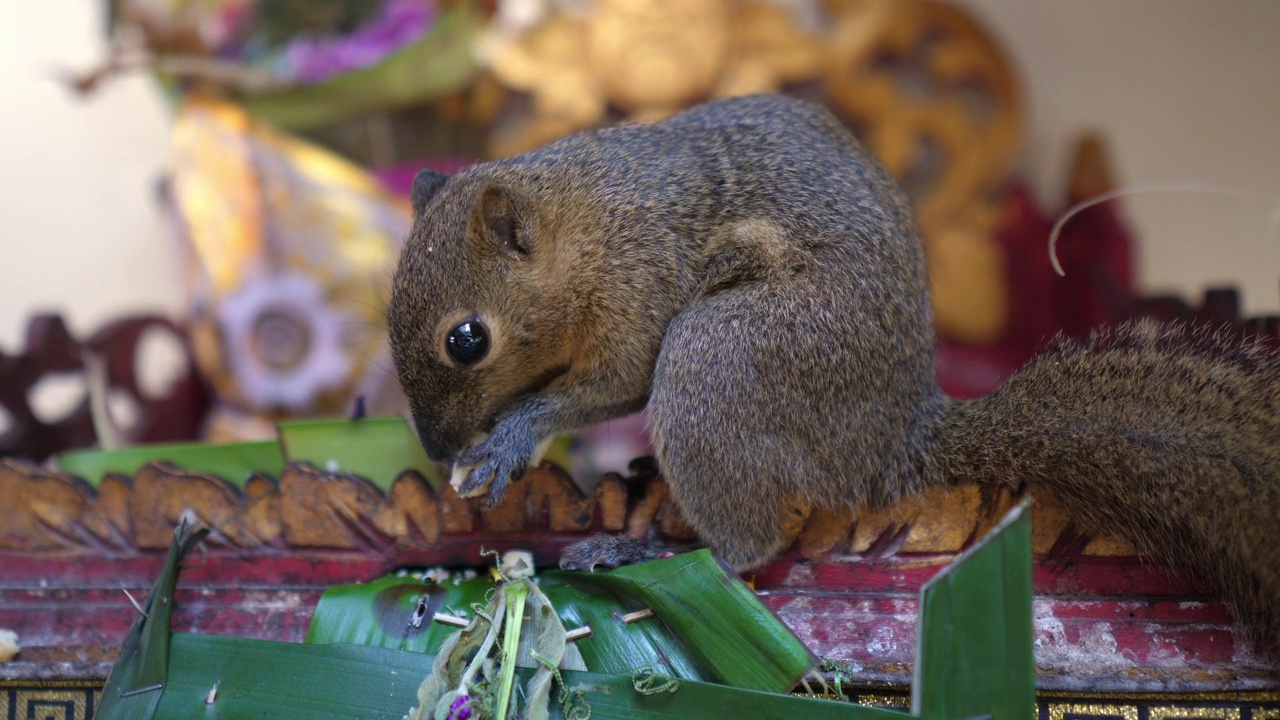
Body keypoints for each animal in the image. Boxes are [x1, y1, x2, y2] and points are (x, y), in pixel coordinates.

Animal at [386, 92, 1280, 635]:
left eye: (467, 339)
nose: (434, 448)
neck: (588, 221)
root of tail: (890, 441)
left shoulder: (640, 286)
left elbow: (613, 383)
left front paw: (508, 439)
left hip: (723, 356)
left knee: (747, 545)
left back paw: (654, 551)